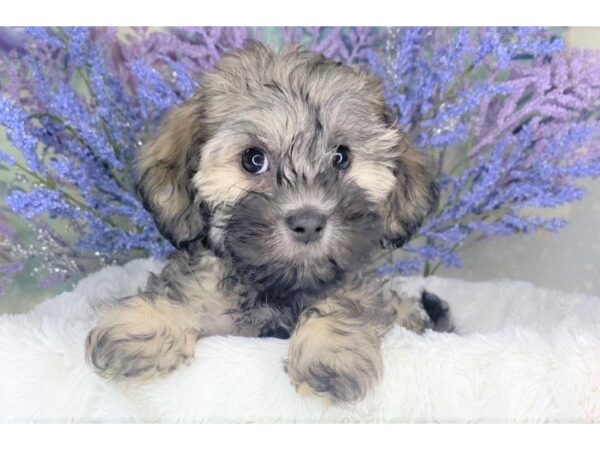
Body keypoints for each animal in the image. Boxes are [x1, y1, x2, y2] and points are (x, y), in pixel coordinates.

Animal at [83, 41, 450, 400]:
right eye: (253, 159)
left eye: (341, 157)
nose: (308, 222)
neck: (275, 288)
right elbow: (185, 294)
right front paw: (148, 324)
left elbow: (345, 301)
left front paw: (330, 350)